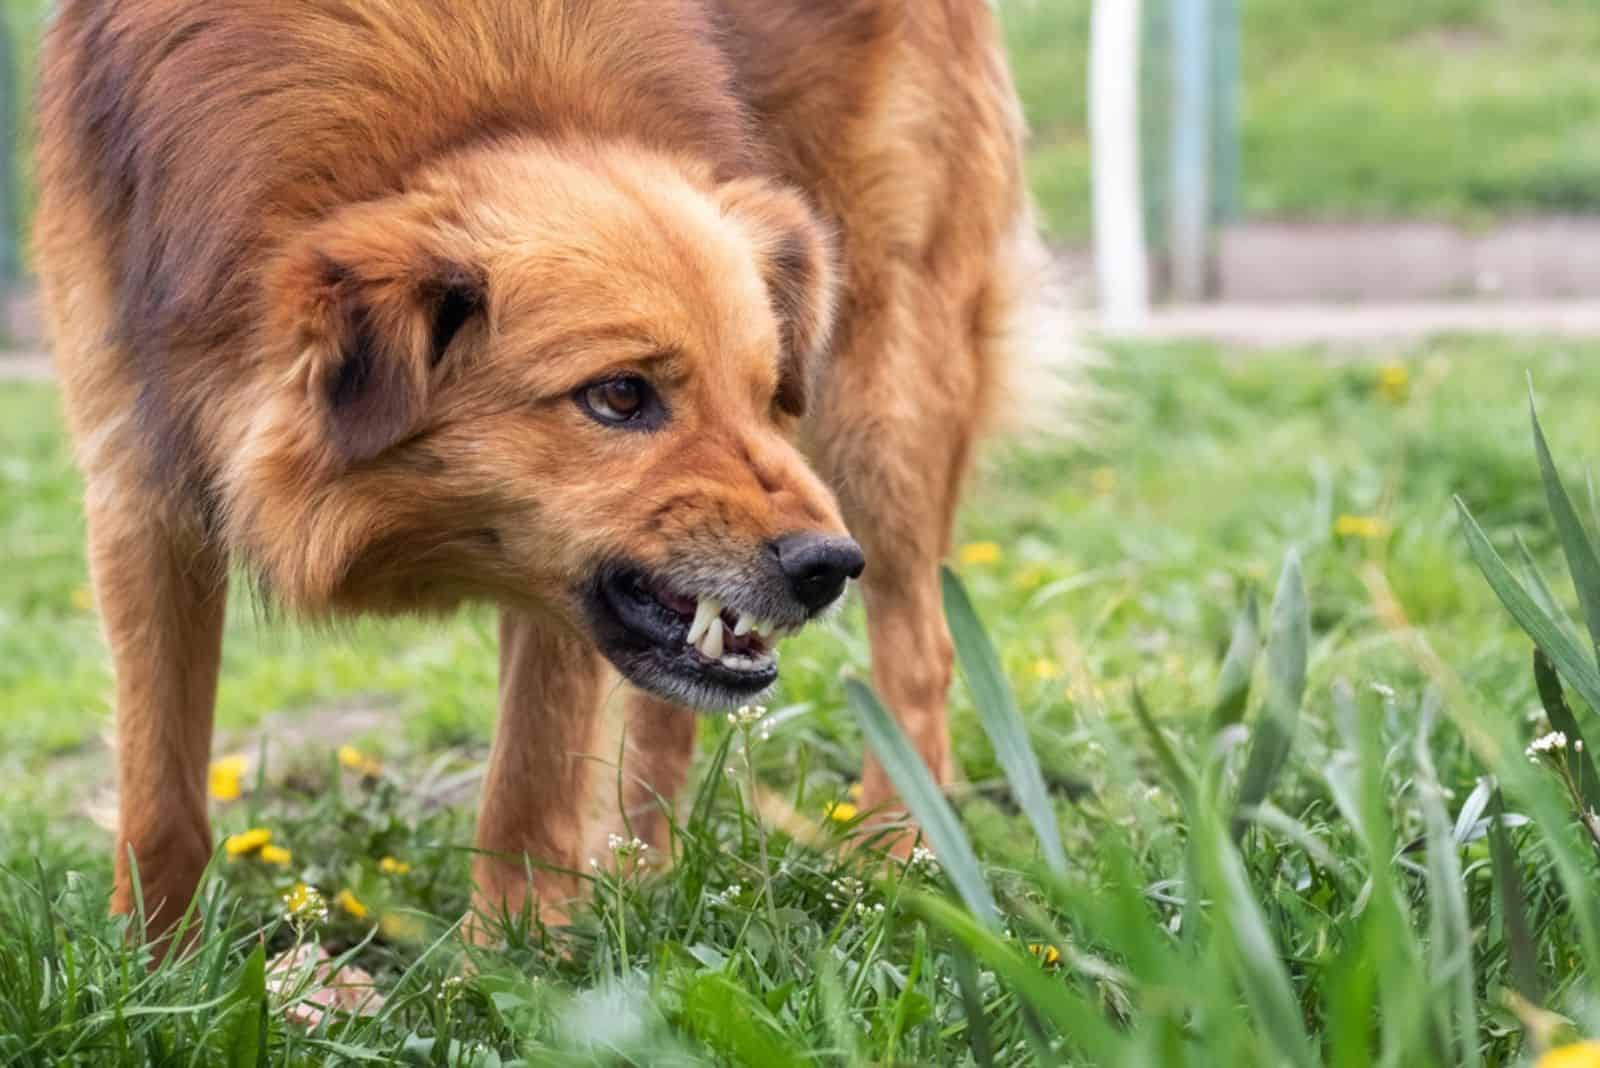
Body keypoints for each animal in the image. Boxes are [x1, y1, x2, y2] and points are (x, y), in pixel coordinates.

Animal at [31, 0, 1068, 933]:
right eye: (618, 396)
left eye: (766, 390)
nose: (826, 568)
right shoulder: (137, 484)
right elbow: (159, 796)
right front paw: (154, 971)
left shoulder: (567, 577)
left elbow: (527, 789)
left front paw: (507, 976)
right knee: (673, 714)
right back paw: (651, 874)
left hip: (882, 392)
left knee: (921, 650)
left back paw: (905, 856)